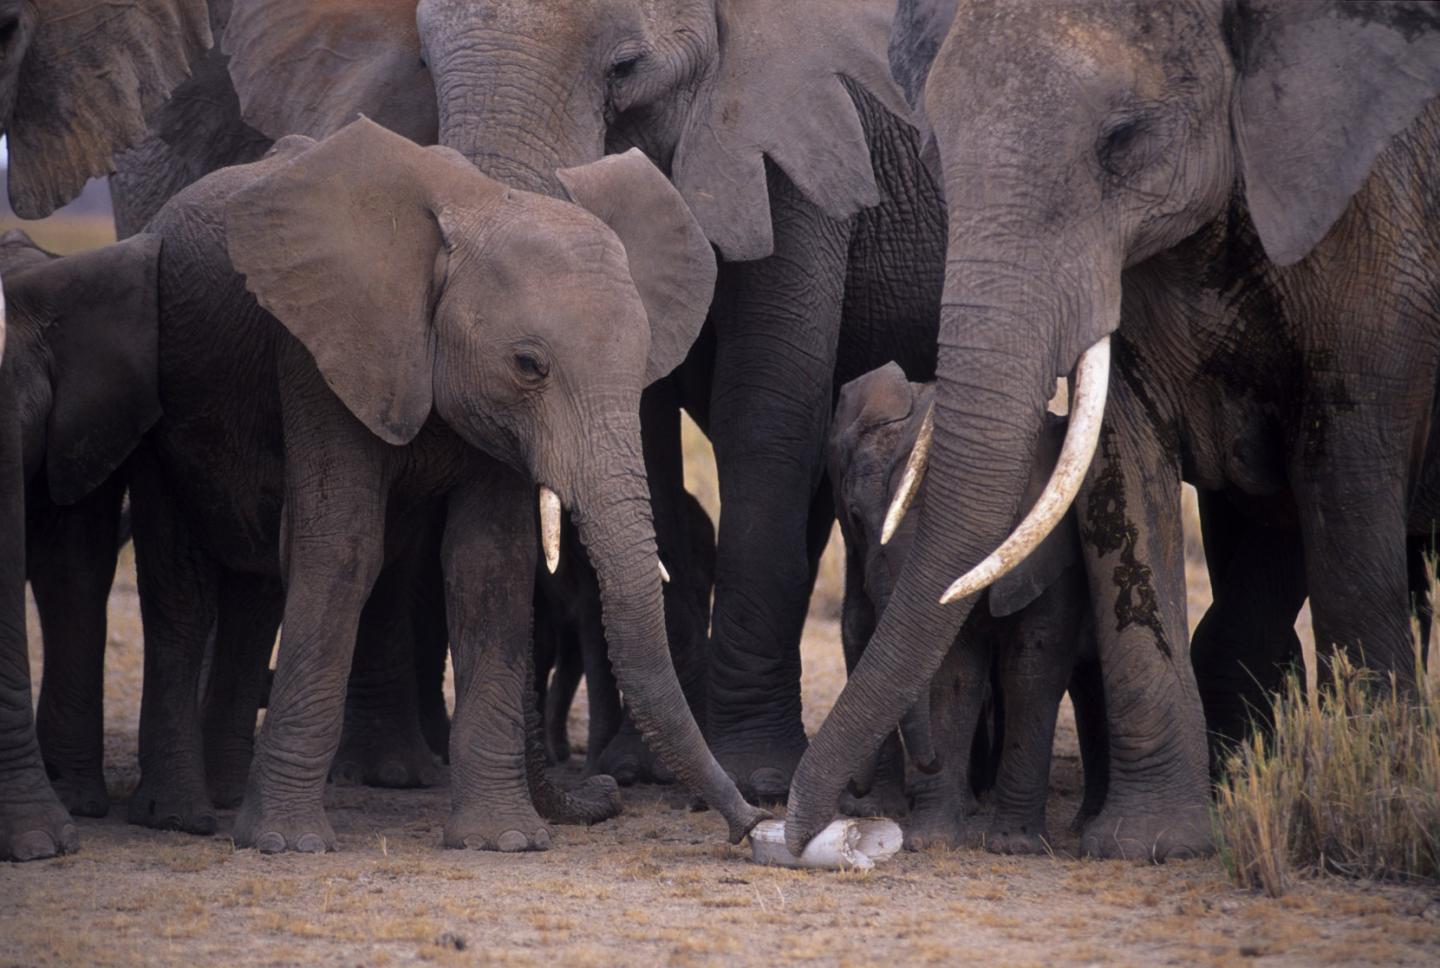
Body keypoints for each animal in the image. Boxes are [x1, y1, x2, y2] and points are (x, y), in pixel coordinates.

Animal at [128, 117, 765, 853]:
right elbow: (341, 550)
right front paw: (288, 844)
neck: (477, 207)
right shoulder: (323, 352)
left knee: (254, 592)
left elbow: (486, 563)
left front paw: (502, 842)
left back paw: (225, 799)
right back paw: (182, 815)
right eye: (528, 365)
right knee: (180, 592)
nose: (751, 824)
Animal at [215, 0, 948, 802]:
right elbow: (648, 428)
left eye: (624, 70)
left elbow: (765, 406)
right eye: (425, 65)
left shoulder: (800, 126)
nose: (597, 794)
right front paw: (638, 771)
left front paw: (759, 778)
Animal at [829, 363, 1106, 853]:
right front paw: (932, 838)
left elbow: (1032, 668)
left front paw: (1013, 846)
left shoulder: (1055, 555)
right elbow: (951, 672)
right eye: (857, 519)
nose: (854, 790)